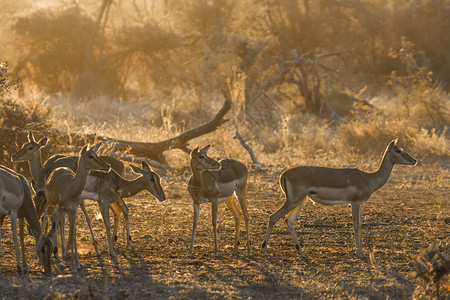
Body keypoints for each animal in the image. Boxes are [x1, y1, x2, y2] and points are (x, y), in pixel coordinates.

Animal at [43, 142, 110, 270]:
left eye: (96, 154)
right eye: (90, 156)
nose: (108, 166)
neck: (71, 187)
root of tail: (56, 170)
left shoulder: (74, 210)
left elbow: (73, 233)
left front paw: (76, 264)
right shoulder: (60, 208)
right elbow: (58, 228)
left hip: (66, 211)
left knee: (62, 225)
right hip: (51, 205)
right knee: (50, 222)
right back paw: (56, 255)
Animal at [260, 138, 418, 258]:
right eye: (398, 150)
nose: (414, 160)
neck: (368, 178)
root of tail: (284, 174)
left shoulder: (359, 204)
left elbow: (360, 224)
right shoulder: (355, 202)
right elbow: (356, 225)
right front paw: (360, 253)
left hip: (301, 201)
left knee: (289, 220)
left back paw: (301, 252)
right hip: (293, 201)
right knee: (273, 217)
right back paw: (263, 251)